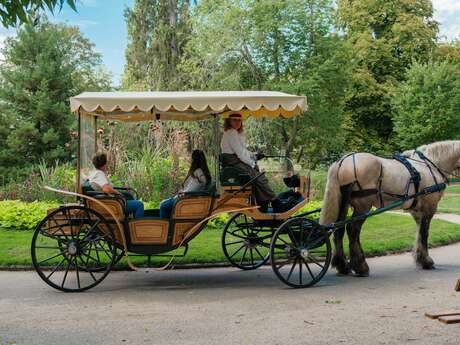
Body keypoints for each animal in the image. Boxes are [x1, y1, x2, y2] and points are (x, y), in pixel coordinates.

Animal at [320, 138, 460, 276]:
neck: (428, 166)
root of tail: (343, 161)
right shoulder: (429, 207)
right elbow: (424, 233)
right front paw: (427, 262)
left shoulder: (417, 211)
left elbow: (419, 233)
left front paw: (420, 258)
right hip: (363, 205)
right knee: (352, 230)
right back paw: (361, 267)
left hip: (344, 203)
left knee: (338, 229)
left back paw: (342, 266)